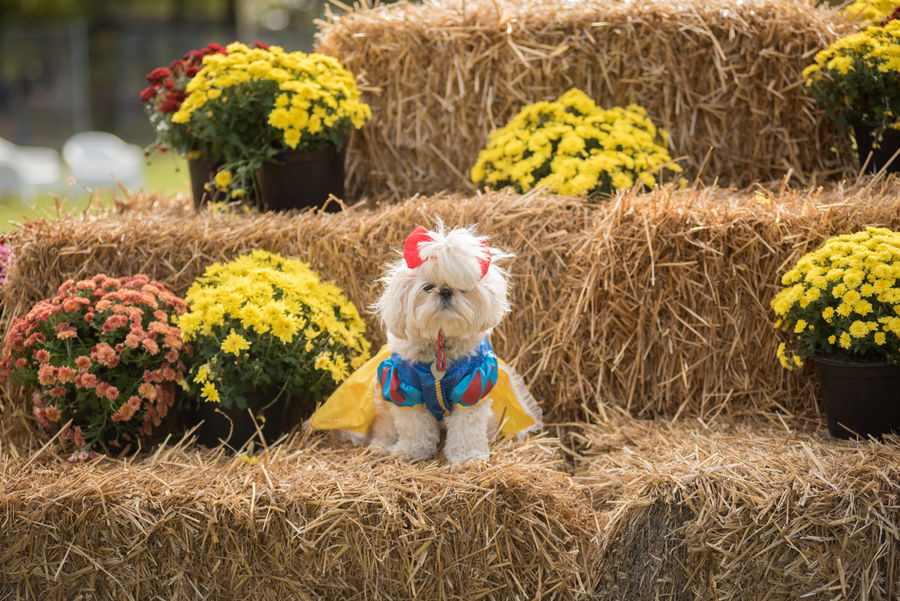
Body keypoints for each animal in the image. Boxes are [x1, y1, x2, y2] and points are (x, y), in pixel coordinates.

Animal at [368, 223, 510, 462]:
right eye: (427, 287)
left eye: (463, 288)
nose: (445, 291)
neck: (440, 344)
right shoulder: (405, 390)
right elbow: (414, 428)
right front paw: (412, 452)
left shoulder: (472, 387)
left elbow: (466, 429)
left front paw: (467, 457)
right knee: (385, 427)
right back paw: (380, 446)